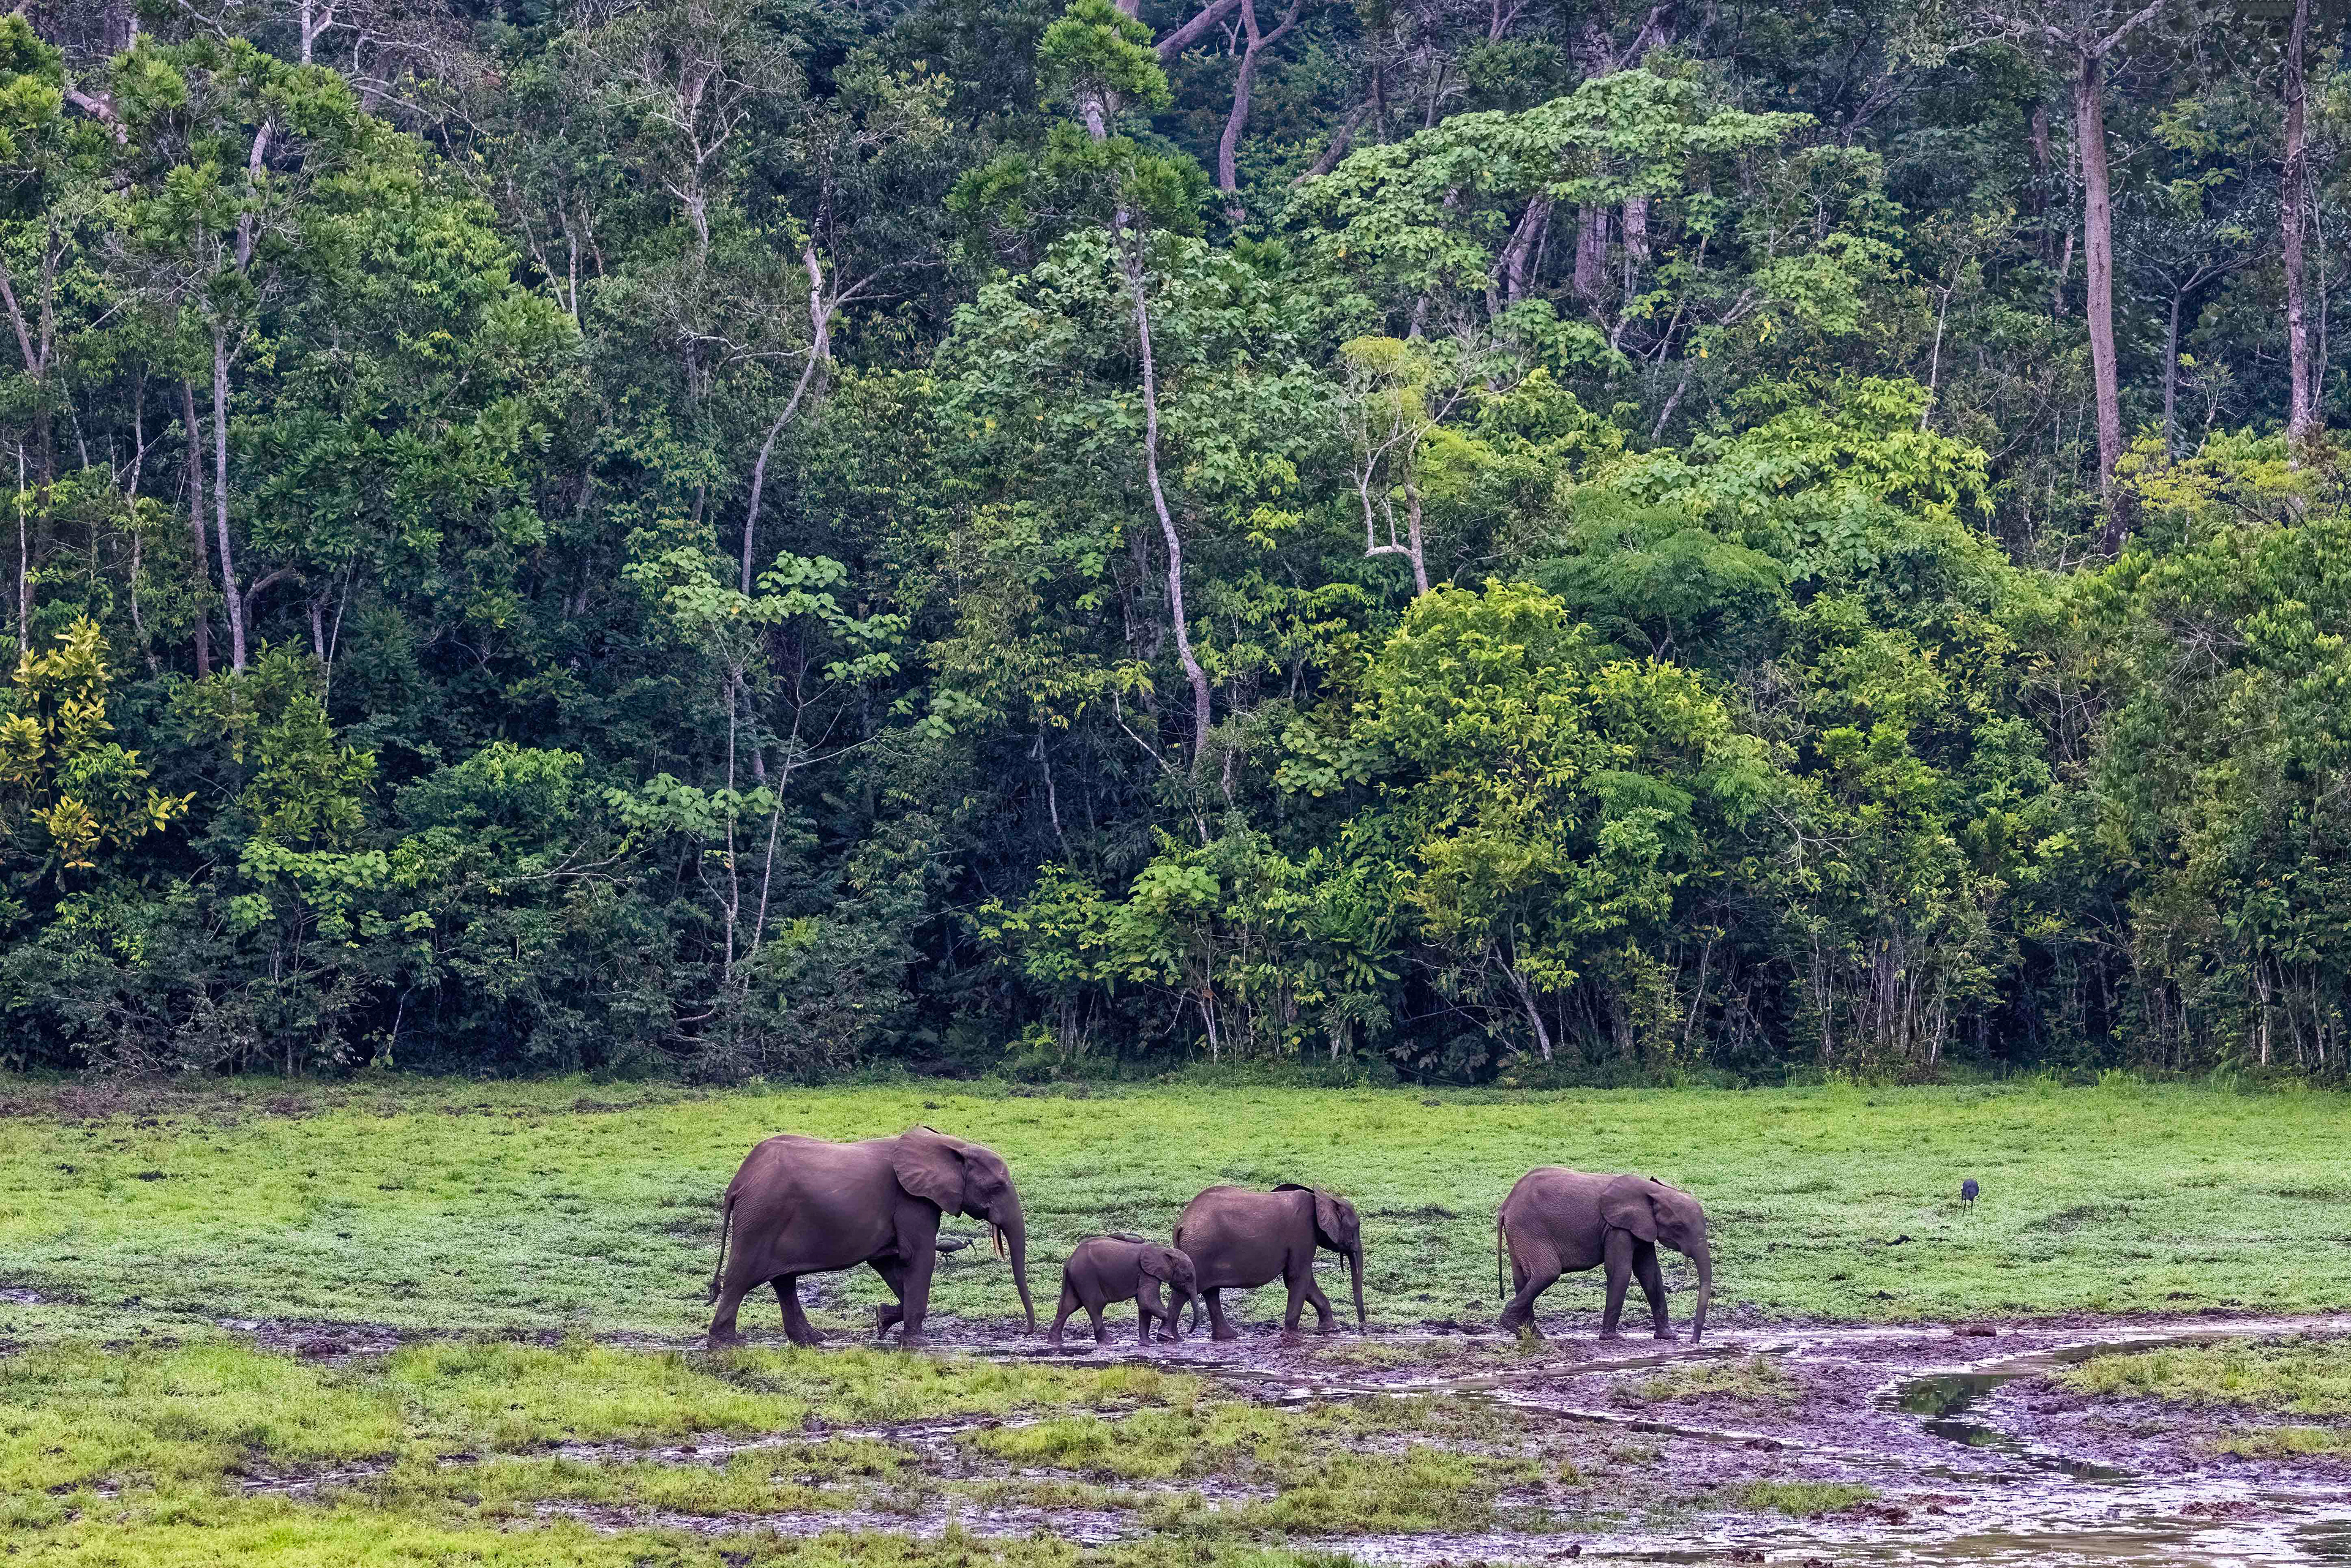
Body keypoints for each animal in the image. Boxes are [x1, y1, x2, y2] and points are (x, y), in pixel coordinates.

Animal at [706, 1125, 1035, 1348]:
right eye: (997, 1187)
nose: (1025, 1333)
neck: (950, 1145)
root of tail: (738, 1182)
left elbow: (889, 1263)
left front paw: (882, 1319)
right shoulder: (912, 1201)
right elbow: (918, 1258)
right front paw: (917, 1345)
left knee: (783, 1281)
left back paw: (813, 1340)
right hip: (761, 1217)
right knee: (740, 1277)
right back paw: (726, 1345)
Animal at [1048, 1234, 1201, 1348]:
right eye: (1188, 1277)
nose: (1187, 1335)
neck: (1165, 1251)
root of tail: (1070, 1261)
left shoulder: (1146, 1274)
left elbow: (1144, 1306)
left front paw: (1148, 1343)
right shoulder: (1147, 1273)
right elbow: (1147, 1302)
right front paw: (1168, 1334)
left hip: (1075, 1278)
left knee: (1068, 1306)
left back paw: (1056, 1342)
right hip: (1086, 1277)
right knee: (1096, 1307)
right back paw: (1111, 1342)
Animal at [1173, 1183, 1365, 1339]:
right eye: (1356, 1228)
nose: (1362, 1327)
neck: (1321, 1198)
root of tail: (1182, 1223)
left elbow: (1303, 1281)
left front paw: (1331, 1330)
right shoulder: (1303, 1232)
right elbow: (1297, 1277)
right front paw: (1293, 1335)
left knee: (1210, 1292)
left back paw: (1226, 1337)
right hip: (1200, 1249)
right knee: (1187, 1291)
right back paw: (1172, 1338)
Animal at [1494, 1168, 1712, 1343]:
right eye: (1678, 1227)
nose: (1693, 1341)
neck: (1652, 1190)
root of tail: (1506, 1203)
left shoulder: (1642, 1228)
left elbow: (1650, 1273)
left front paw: (1668, 1337)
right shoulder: (1617, 1228)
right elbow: (1621, 1271)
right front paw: (1613, 1338)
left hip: (1519, 1233)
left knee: (1523, 1278)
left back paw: (1530, 1335)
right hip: (1529, 1230)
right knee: (1547, 1273)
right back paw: (1515, 1326)